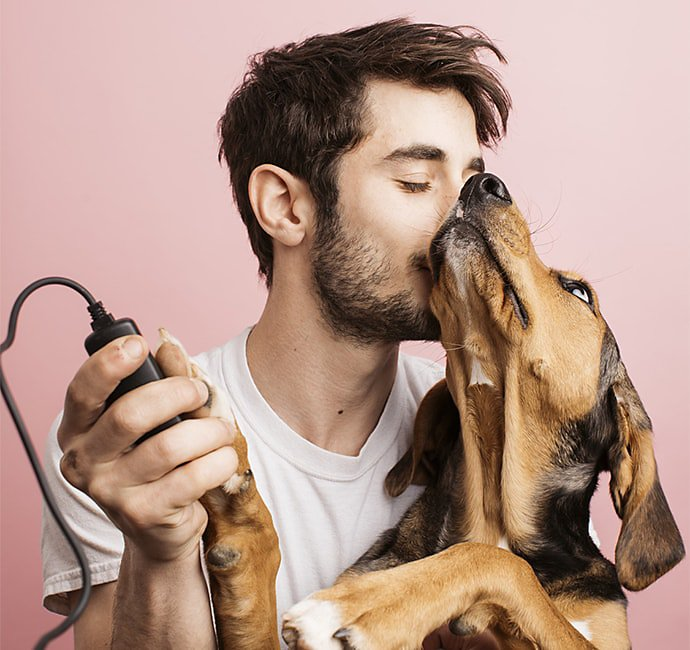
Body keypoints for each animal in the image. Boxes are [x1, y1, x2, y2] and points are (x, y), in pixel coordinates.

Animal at [278, 173, 684, 648]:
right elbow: (492, 559)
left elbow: (499, 563)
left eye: (579, 291)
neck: (497, 512)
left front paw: (364, 606)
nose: (480, 182)